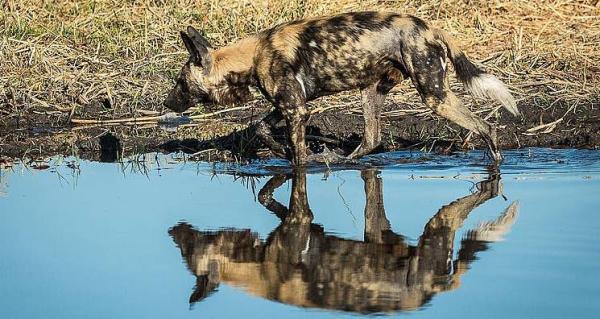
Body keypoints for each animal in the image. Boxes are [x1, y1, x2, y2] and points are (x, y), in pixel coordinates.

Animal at [164, 11, 520, 166]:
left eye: (180, 83)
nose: (166, 103)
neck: (252, 56)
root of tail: (431, 27)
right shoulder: (289, 106)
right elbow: (261, 129)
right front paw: (279, 151)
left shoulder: (296, 111)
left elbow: (298, 158)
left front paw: (297, 161)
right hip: (371, 90)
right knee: (372, 138)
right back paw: (343, 160)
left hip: (435, 96)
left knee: (485, 125)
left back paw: (496, 164)